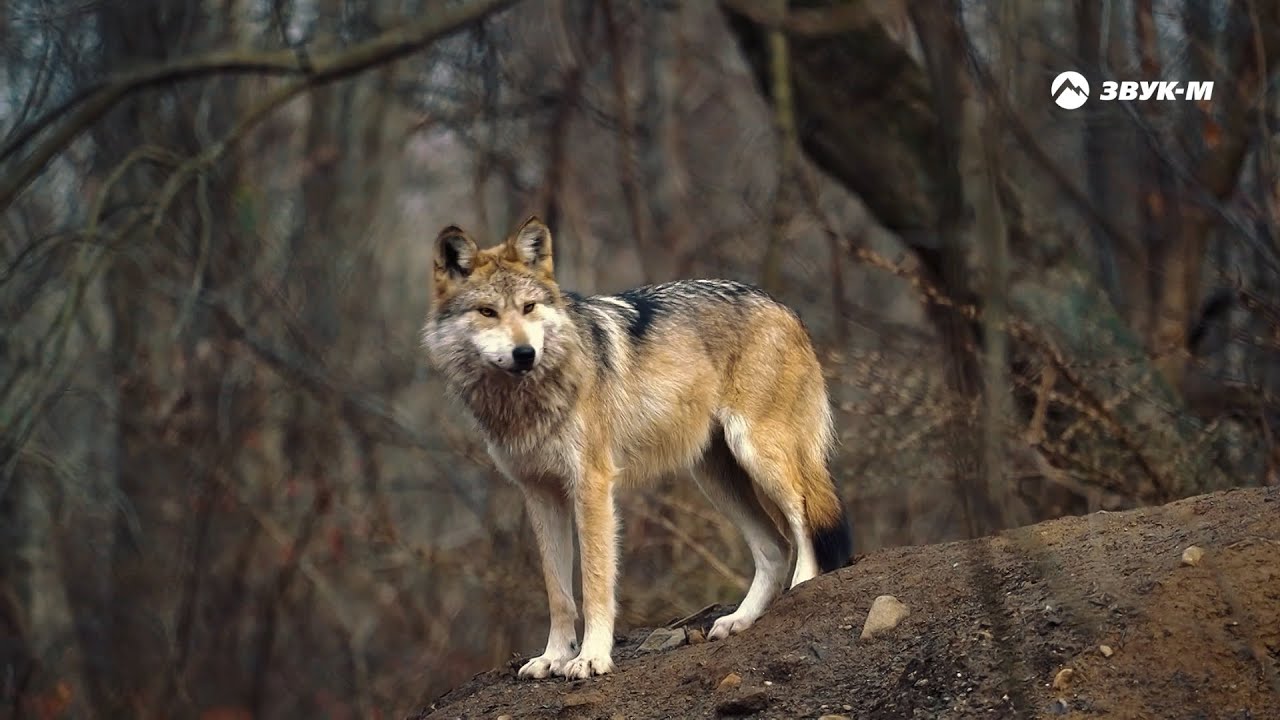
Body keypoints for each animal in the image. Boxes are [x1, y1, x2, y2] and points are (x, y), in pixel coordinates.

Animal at [424, 213, 855, 676]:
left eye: (528, 307)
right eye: (487, 312)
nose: (525, 353)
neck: (527, 399)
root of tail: (784, 307)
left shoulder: (592, 485)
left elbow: (595, 583)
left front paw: (591, 657)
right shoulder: (540, 494)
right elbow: (558, 593)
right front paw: (553, 657)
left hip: (759, 454)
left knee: (803, 518)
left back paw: (804, 586)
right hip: (715, 479)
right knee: (775, 547)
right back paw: (739, 620)